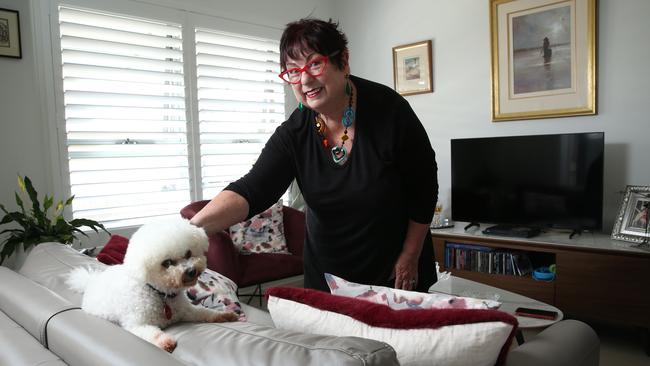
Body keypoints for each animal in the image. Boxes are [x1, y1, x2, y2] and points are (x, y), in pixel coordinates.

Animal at [67, 217, 238, 352]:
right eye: (167, 263)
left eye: (188, 253)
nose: (191, 271)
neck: (161, 294)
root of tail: (91, 280)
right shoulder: (136, 325)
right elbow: (152, 333)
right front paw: (165, 341)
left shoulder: (187, 311)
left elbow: (205, 312)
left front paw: (224, 315)